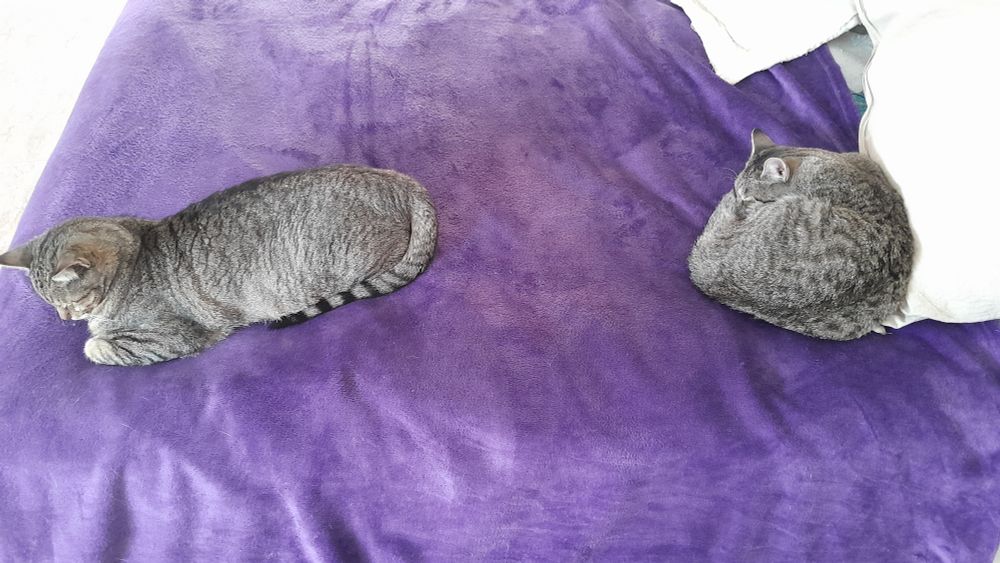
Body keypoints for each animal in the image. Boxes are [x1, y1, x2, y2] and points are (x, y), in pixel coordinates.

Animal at [0, 165, 437, 365]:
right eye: (52, 306)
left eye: (70, 303)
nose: (63, 318)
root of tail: (403, 184)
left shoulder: (168, 339)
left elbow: (97, 347)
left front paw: (92, 340)